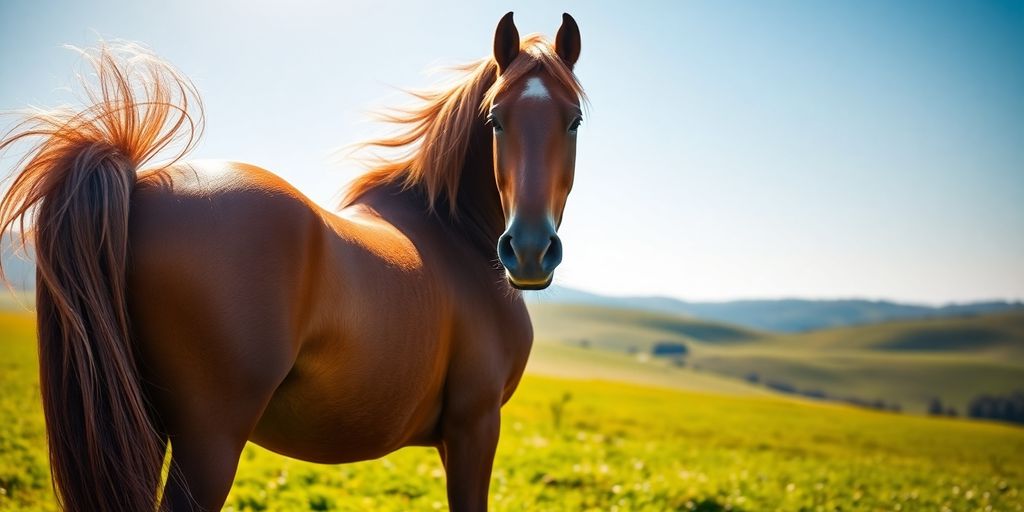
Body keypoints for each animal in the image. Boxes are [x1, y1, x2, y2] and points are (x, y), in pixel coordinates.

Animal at [0, 11, 584, 512]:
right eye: (495, 119)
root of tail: (141, 187)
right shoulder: (474, 426)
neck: (454, 233)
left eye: (574, 121)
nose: (530, 250)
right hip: (209, 440)